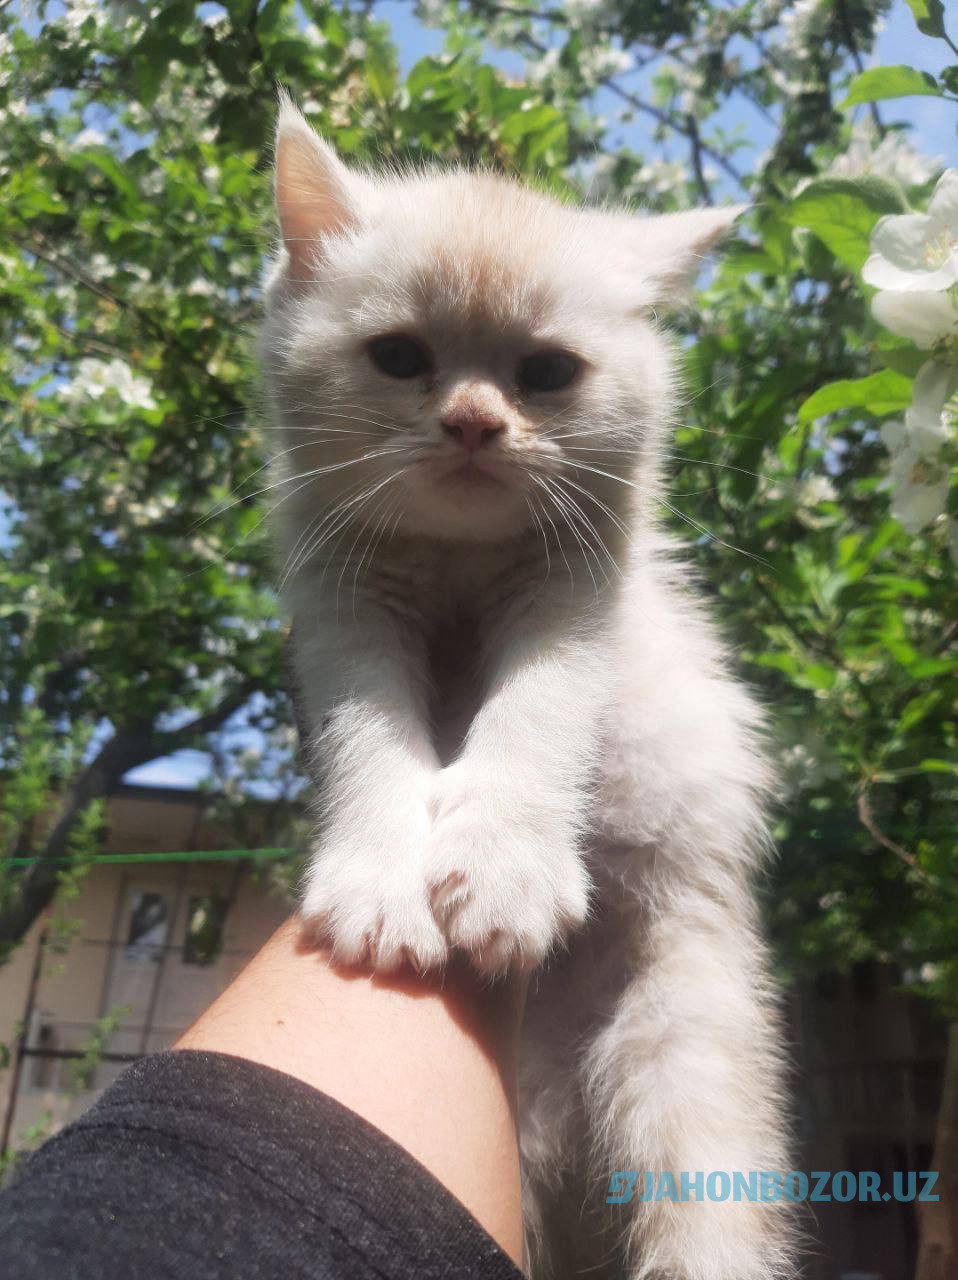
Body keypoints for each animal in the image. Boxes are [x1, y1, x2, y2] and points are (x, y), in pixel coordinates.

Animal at [259, 99, 794, 1280]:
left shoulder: (580, 598)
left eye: (547, 371)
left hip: (681, 1020)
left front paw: (504, 865)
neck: (459, 565)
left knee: (704, 1198)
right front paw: (378, 884)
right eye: (399, 356)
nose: (471, 421)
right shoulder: (342, 605)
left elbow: (538, 715)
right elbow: (370, 737)